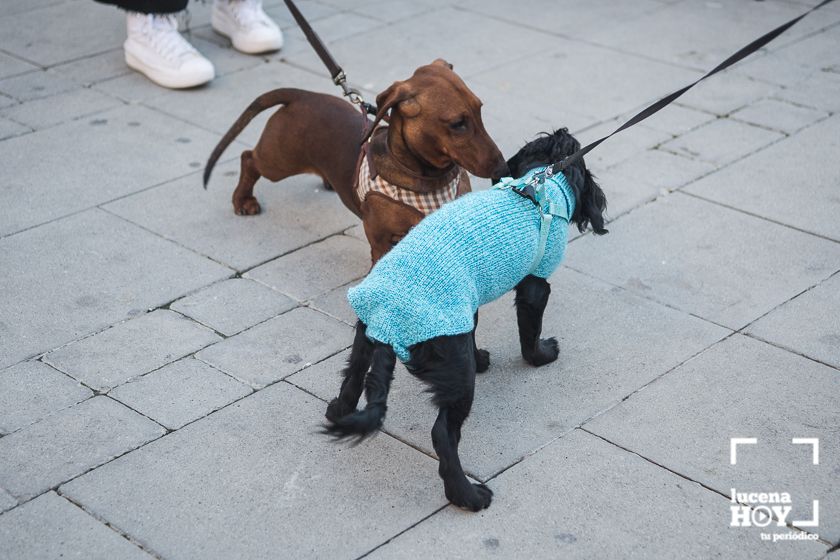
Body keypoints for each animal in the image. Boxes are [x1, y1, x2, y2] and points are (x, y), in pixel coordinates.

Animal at [324, 128, 608, 512]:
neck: (539, 185)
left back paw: (338, 411)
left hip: (366, 333)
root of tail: (388, 321)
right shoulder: (535, 283)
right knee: (442, 434)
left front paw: (485, 358)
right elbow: (530, 331)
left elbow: (475, 329)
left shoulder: (467, 301)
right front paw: (542, 355)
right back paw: (467, 494)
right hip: (457, 373)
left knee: (352, 376)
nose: (564, 131)